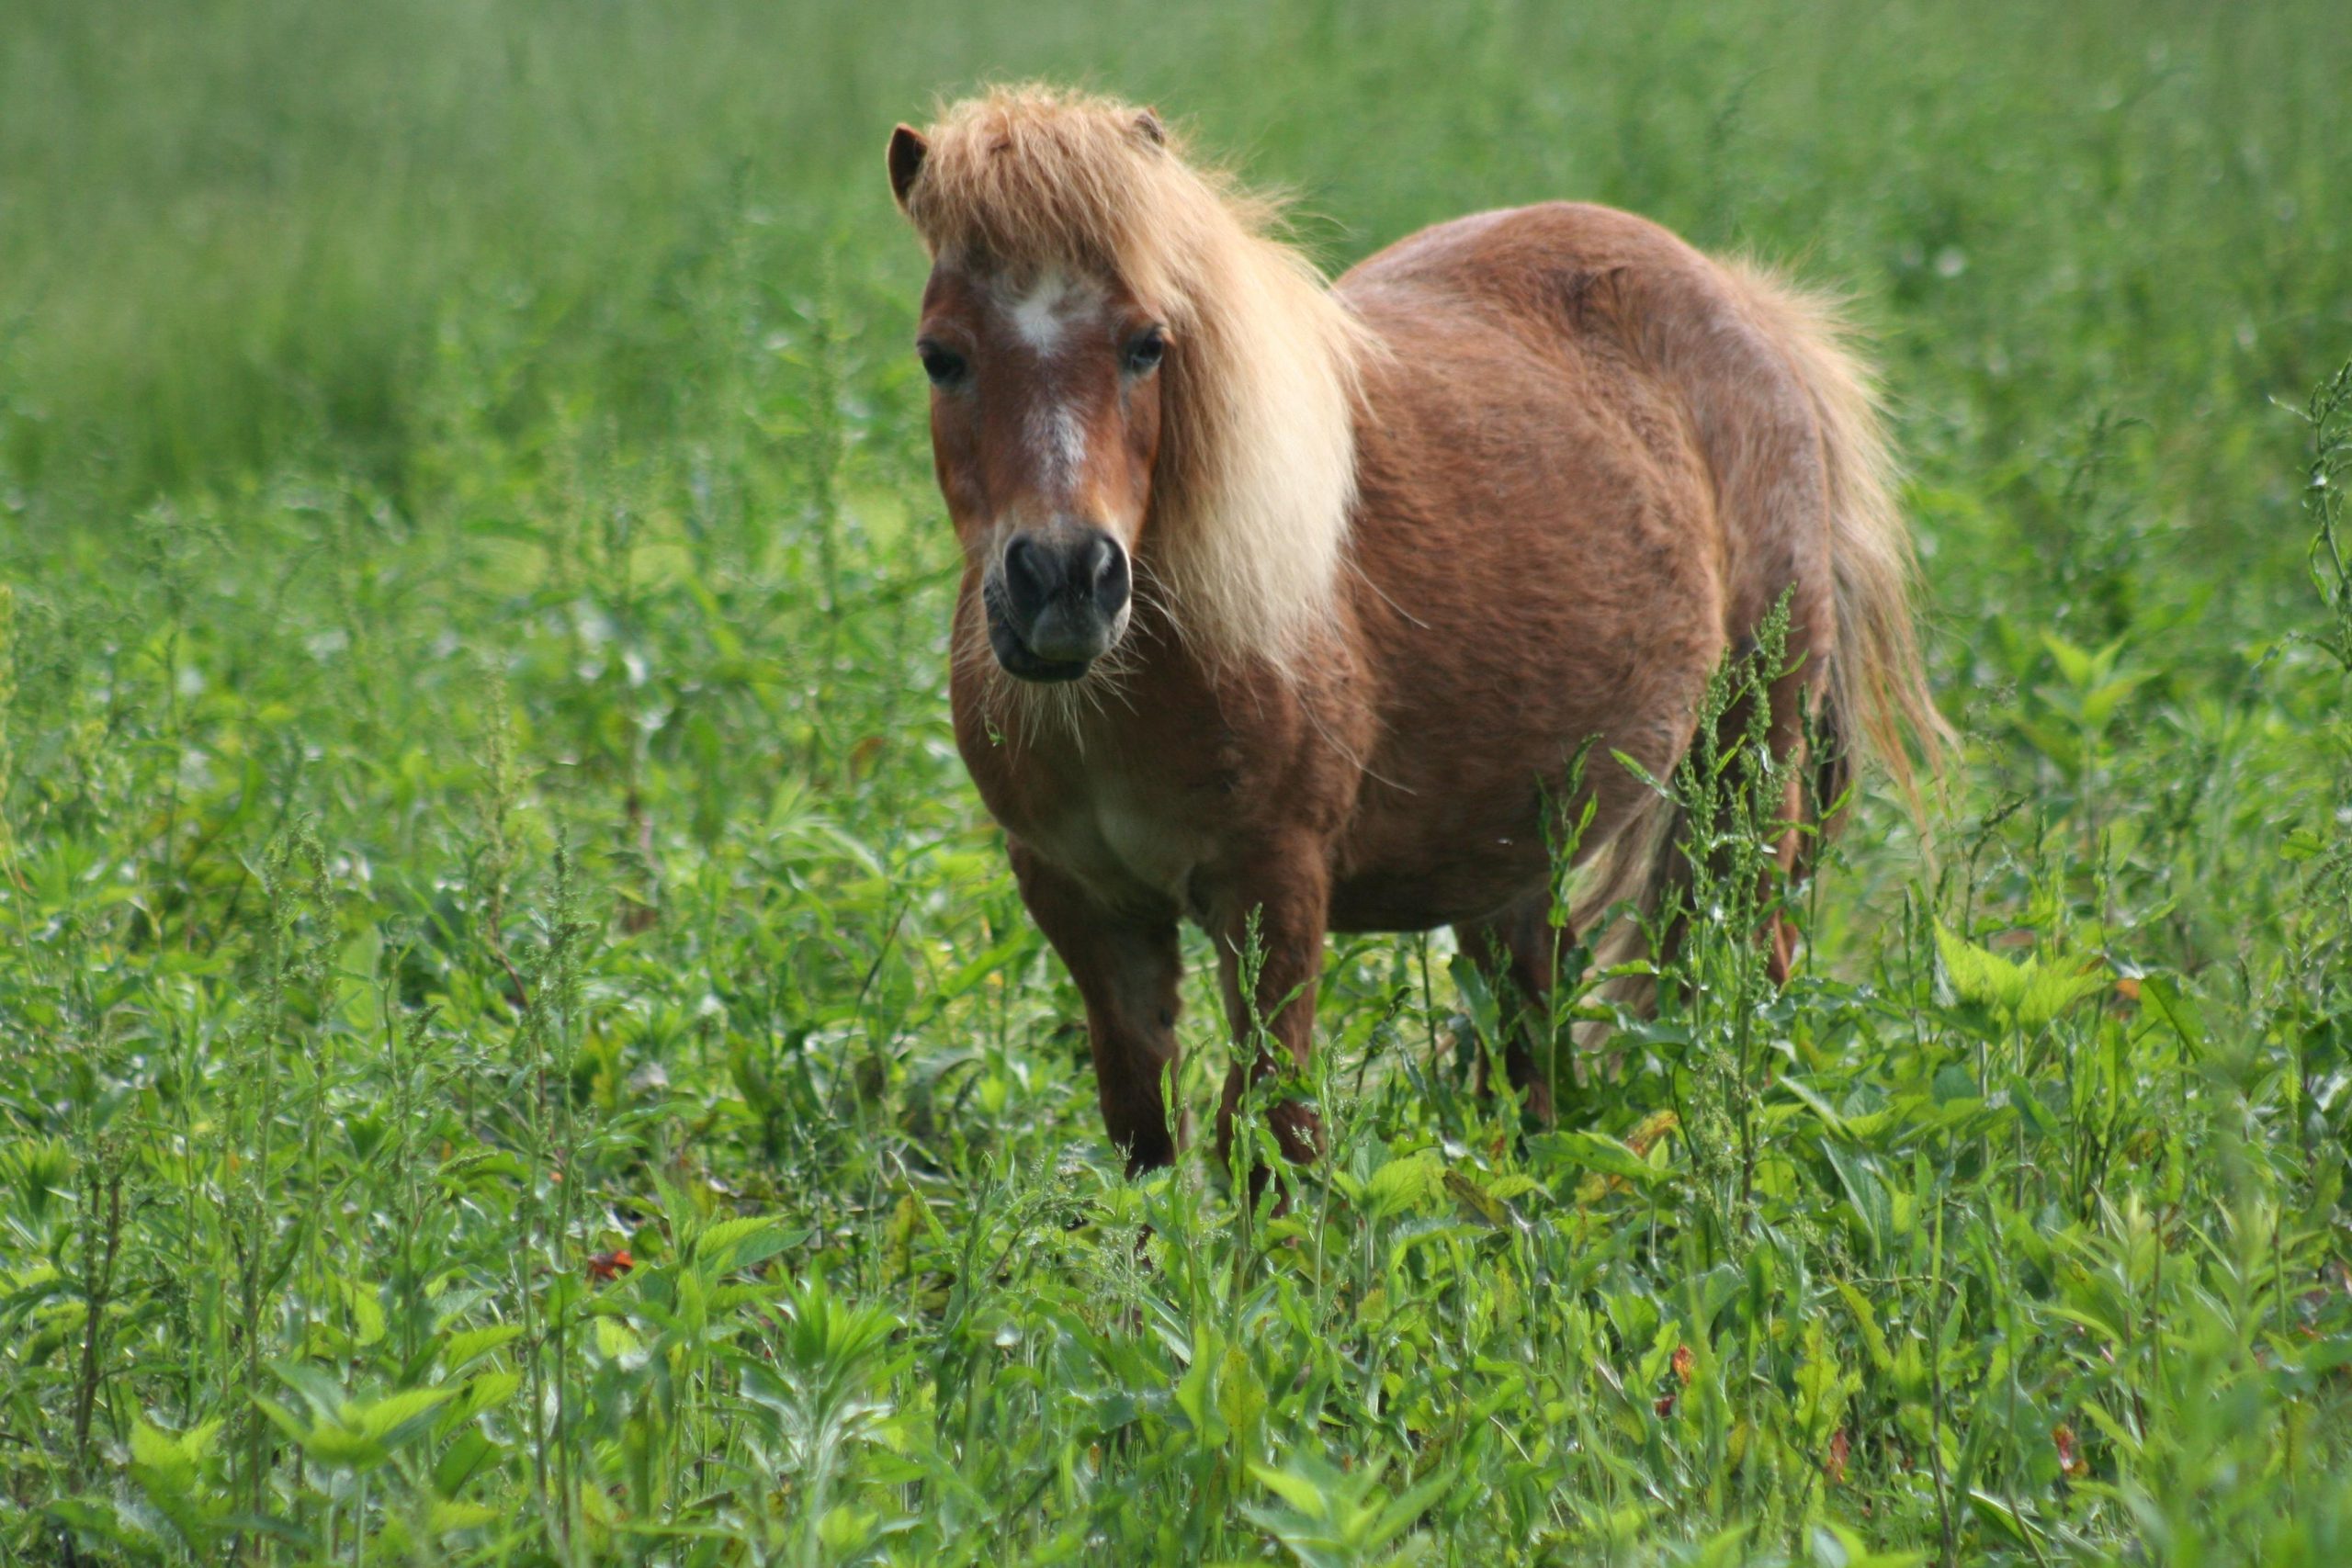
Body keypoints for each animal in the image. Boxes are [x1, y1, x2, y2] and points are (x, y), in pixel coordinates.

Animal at [884, 80, 1947, 1170]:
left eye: (1148, 345)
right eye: (940, 357)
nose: (1065, 580)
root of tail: (1745, 304)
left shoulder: (1274, 886)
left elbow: (1272, 1135)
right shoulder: (1082, 901)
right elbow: (1146, 1132)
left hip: (1743, 775)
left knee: (1742, 985)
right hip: (1517, 856)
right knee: (1530, 1045)